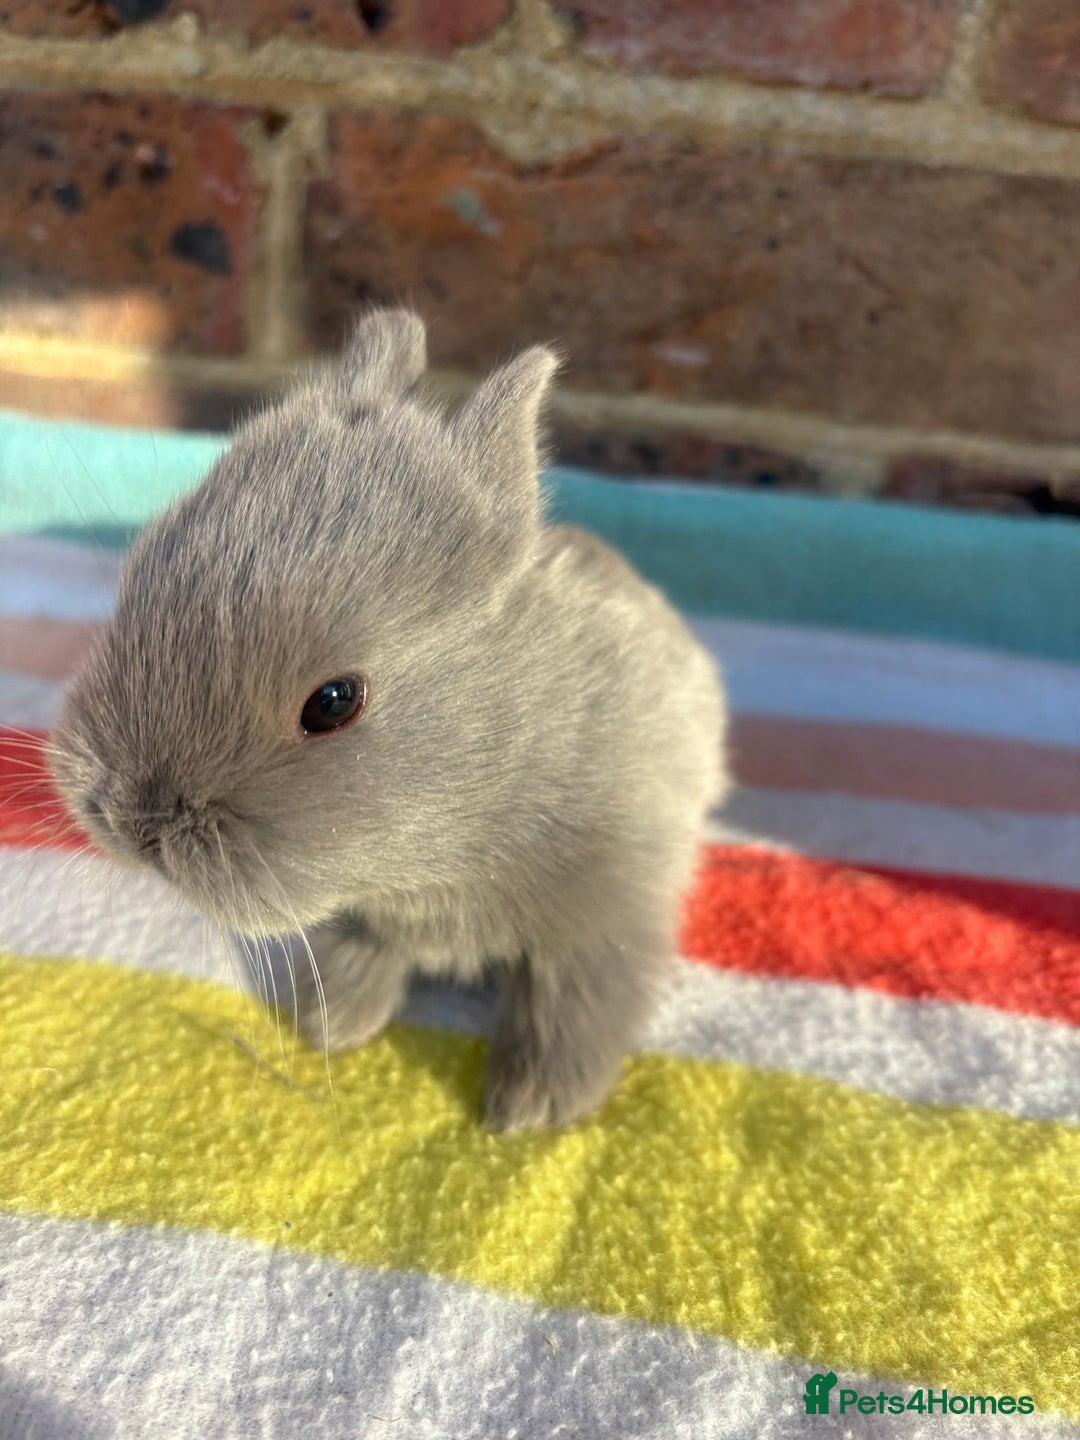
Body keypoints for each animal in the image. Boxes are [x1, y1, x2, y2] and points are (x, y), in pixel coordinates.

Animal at [47, 309, 728, 1130]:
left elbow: (574, 1010)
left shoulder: (611, 913)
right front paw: (328, 1025)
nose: (130, 821)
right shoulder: (367, 918)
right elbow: (359, 956)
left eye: (334, 701)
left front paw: (531, 1109)